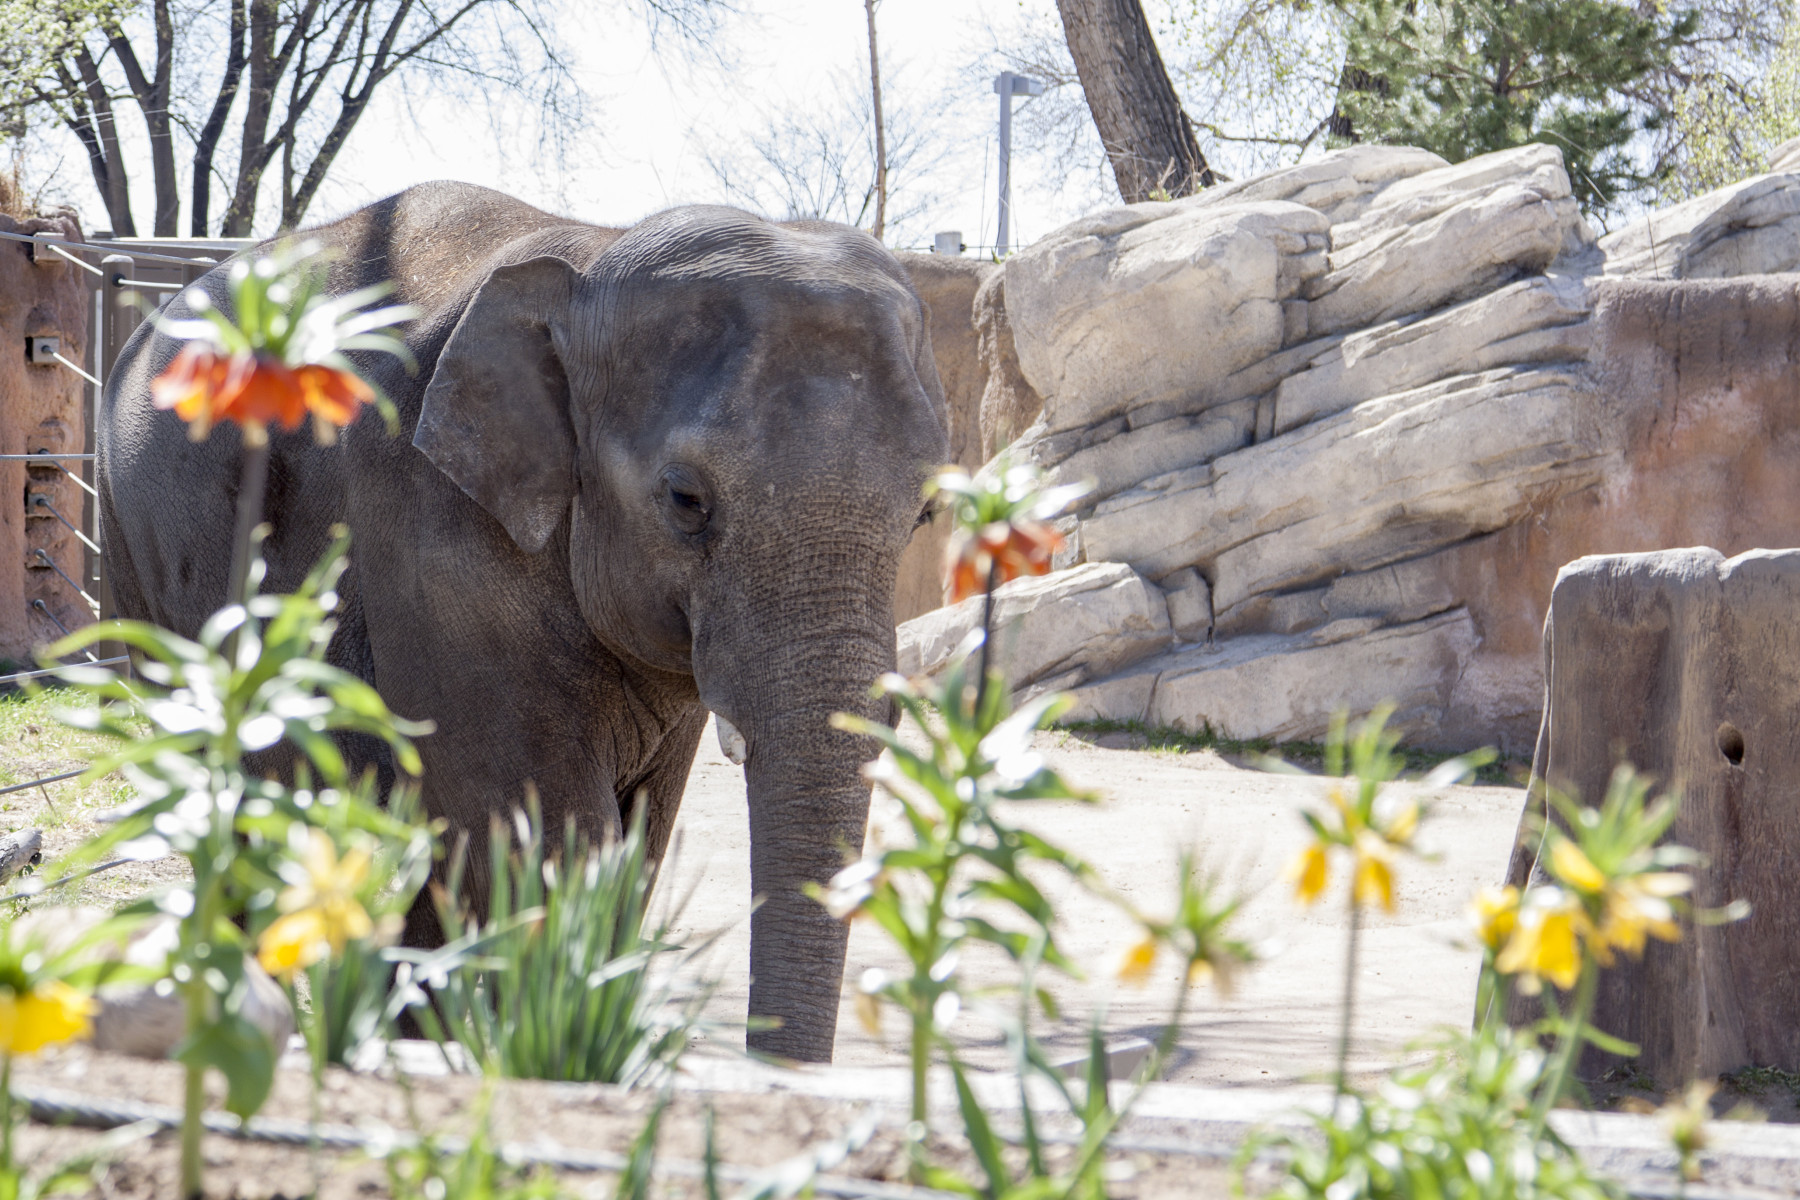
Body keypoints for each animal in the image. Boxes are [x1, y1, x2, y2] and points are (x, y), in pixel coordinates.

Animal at [96, 181, 952, 1063]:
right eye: (686, 500)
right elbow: (546, 831)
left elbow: (635, 838)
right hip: (136, 555)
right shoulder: (434, 536)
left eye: (926, 513)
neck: (592, 258)